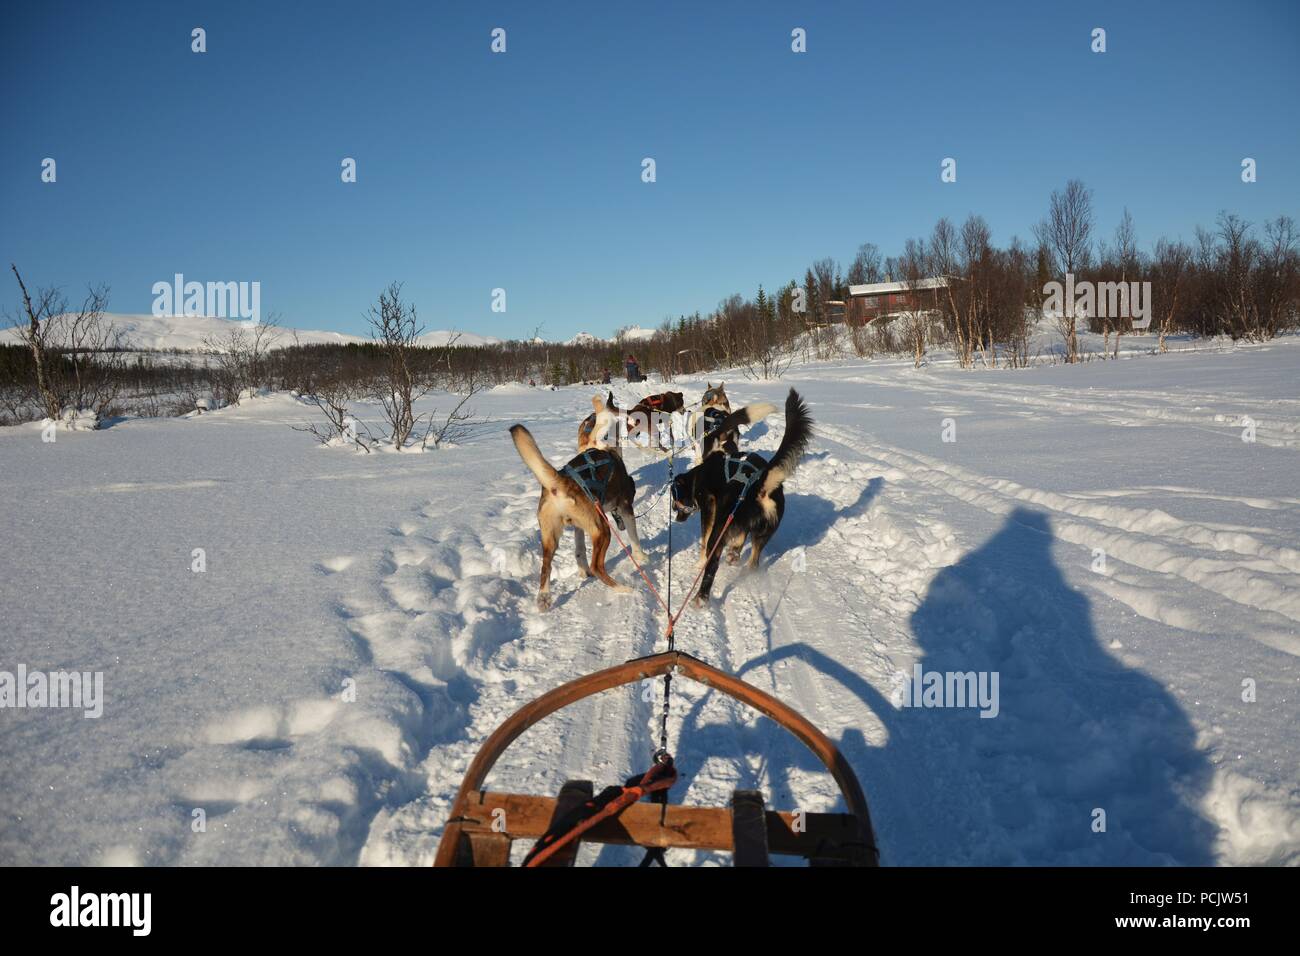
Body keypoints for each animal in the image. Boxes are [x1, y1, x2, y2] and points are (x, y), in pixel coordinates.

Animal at [509, 424, 647, 608]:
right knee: (597, 566)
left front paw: (582, 569)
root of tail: (560, 483)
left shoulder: (579, 526)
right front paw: (642, 557)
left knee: (546, 566)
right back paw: (623, 588)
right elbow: (634, 537)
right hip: (603, 530)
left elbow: (579, 550)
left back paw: (544, 598)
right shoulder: (625, 507)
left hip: (551, 536)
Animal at [670, 387, 811, 598]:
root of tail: (761, 483)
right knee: (752, 559)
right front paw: (735, 551)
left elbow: (704, 539)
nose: (676, 519)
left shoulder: (709, 511)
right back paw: (740, 563)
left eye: (675, 500)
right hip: (761, 533)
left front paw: (699, 562)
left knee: (713, 558)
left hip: (722, 528)